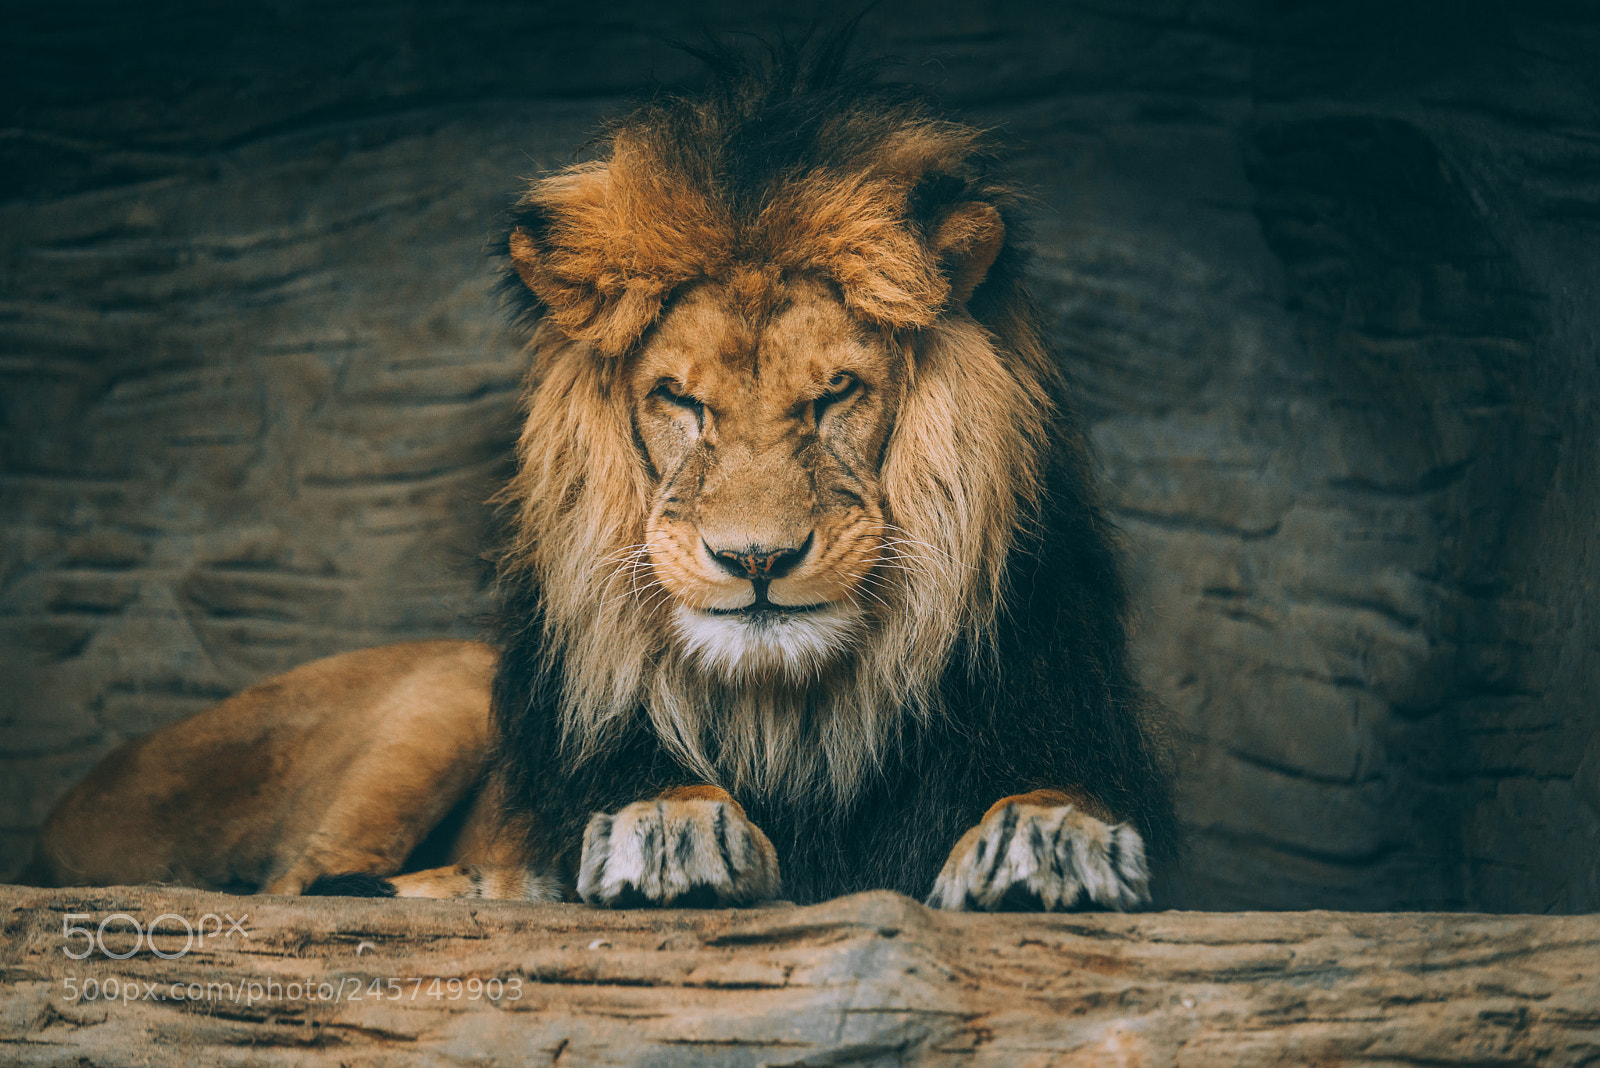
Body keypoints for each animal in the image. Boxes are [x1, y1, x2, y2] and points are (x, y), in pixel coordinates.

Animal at [28, 46, 1177, 912]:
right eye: (678, 399)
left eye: (836, 393)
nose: (755, 560)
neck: (791, 718)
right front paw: (667, 830)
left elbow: (1055, 795)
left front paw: (1049, 841)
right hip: (448, 693)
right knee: (301, 895)